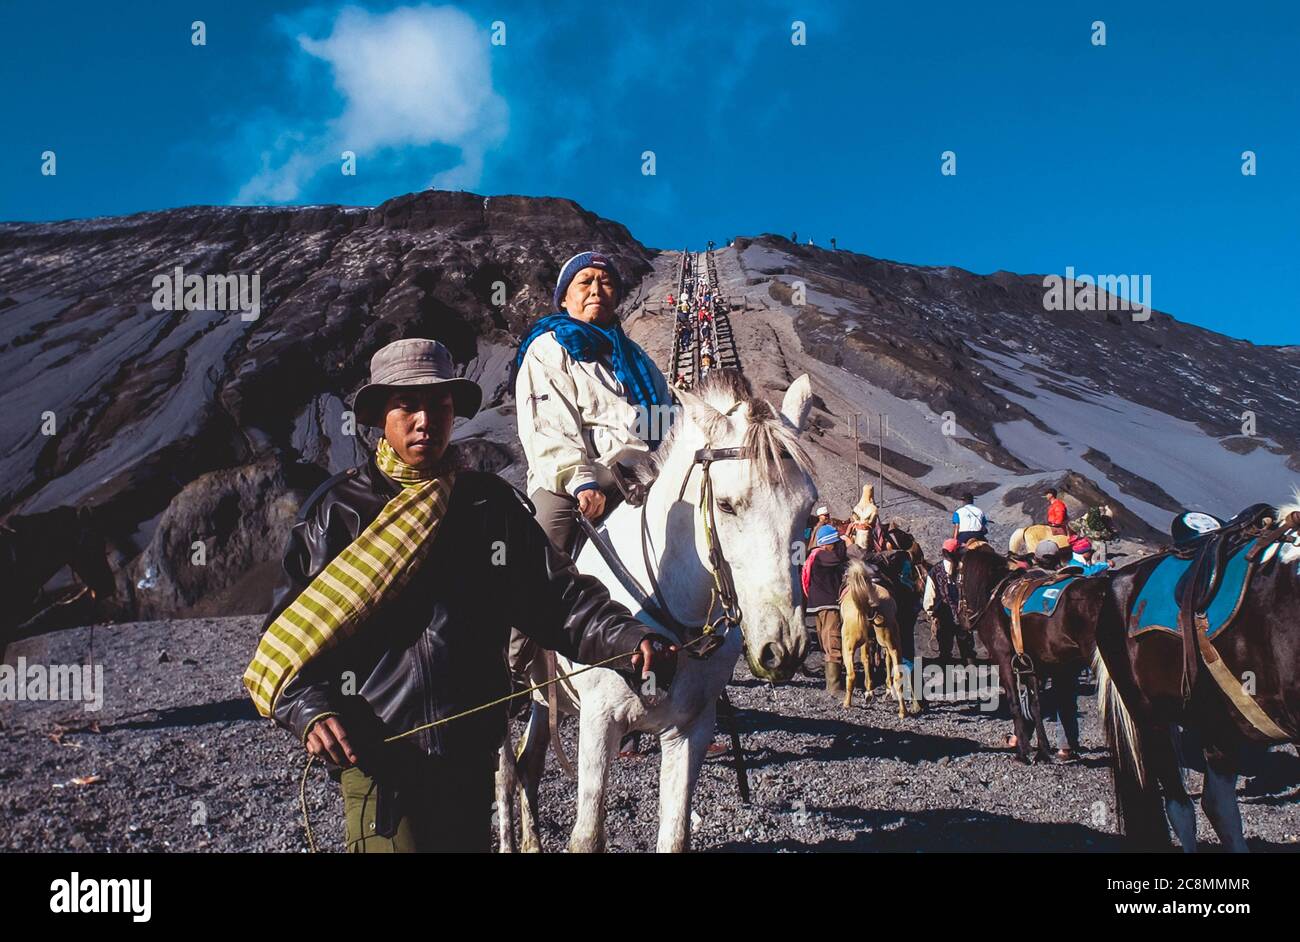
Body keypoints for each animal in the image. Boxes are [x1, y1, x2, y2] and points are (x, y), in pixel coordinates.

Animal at [493, 374, 811, 852]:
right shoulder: (598, 723)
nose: (783, 647)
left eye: (808, 510)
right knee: (505, 775)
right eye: (726, 504)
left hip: (547, 699)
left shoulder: (691, 731)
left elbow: (675, 834)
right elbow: (587, 835)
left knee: (528, 765)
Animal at [842, 556, 915, 717]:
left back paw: (846, 704)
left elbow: (866, 660)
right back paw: (903, 712)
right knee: (898, 676)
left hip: (848, 646)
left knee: (851, 675)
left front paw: (870, 692)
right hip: (892, 643)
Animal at [956, 543, 1107, 763]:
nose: (961, 619)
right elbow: (1035, 705)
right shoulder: (1031, 664)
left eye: (956, 580)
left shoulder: (1004, 660)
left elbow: (1015, 703)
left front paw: (1023, 751)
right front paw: (1042, 751)